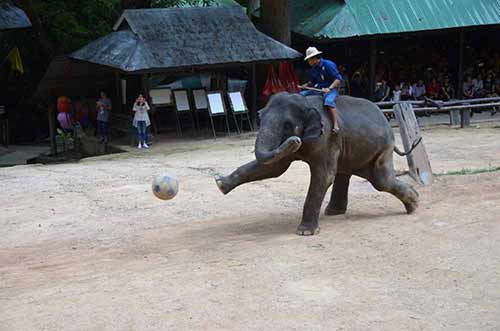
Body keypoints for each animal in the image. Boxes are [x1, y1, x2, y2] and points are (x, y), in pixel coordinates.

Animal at [216, 92, 422, 235]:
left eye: (288, 126)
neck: (305, 103)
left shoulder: (327, 138)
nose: (294, 141)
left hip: (382, 148)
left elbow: (322, 176)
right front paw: (220, 184)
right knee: (347, 175)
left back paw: (414, 204)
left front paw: (305, 232)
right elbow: (275, 169)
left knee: (381, 181)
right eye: (260, 118)